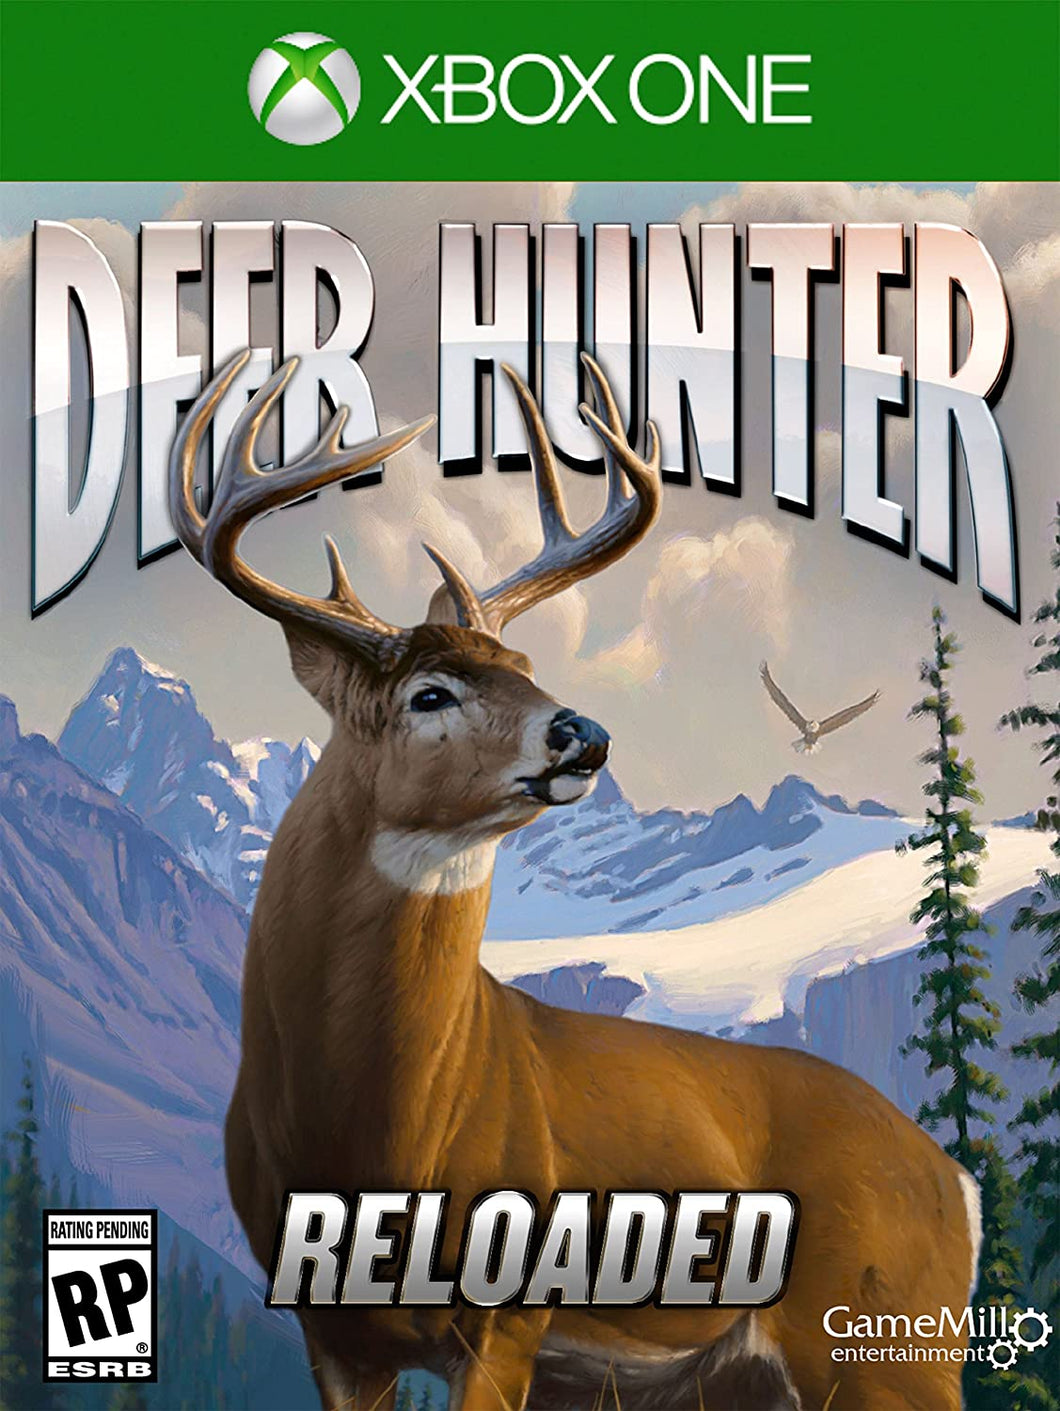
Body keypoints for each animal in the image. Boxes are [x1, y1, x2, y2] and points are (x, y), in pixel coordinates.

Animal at [169, 349, 981, 1411]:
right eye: (431, 692)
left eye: (523, 662)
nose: (584, 732)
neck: (368, 1133)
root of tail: (955, 1179)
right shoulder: (331, 1333)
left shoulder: (510, 1318)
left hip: (891, 1344)